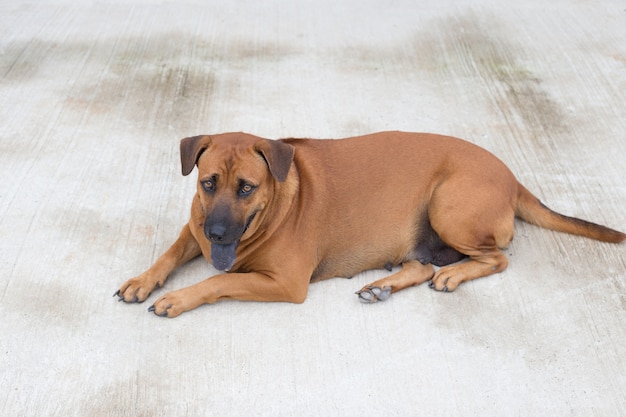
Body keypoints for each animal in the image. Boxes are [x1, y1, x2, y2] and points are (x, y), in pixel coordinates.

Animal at [113, 132, 624, 316]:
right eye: (208, 183)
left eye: (246, 188)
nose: (217, 235)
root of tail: (513, 178)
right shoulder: (192, 231)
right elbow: (169, 252)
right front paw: (143, 281)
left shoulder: (285, 283)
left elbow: (217, 283)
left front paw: (177, 298)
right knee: (422, 263)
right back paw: (385, 285)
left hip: (449, 209)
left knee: (496, 258)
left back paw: (454, 274)